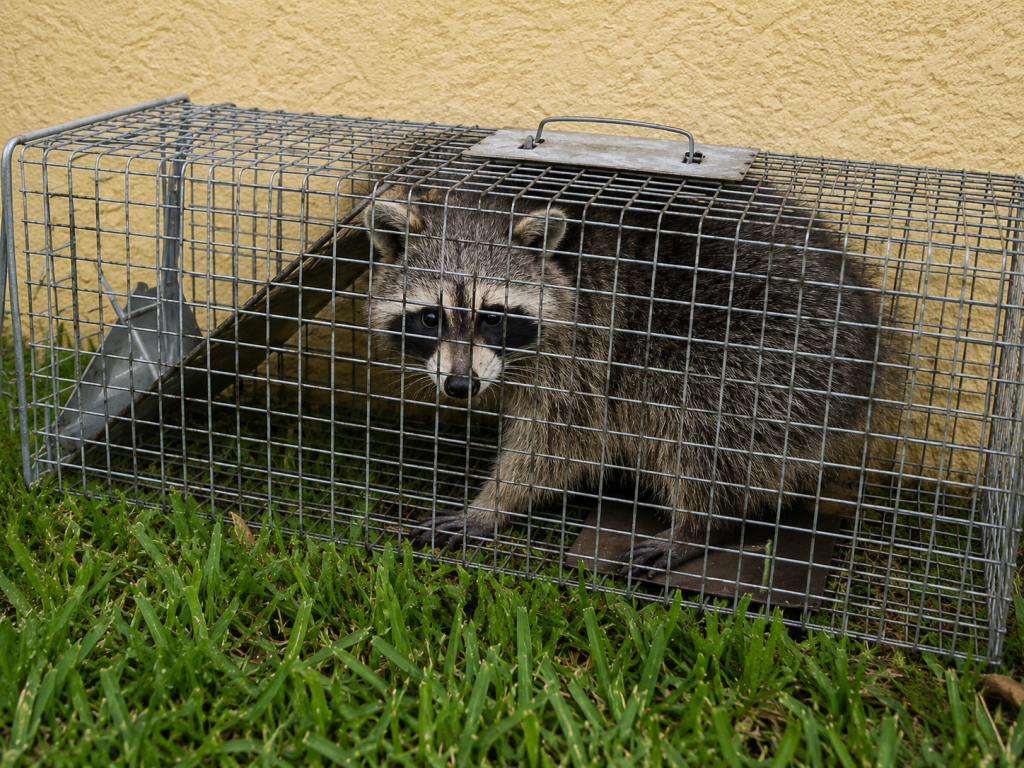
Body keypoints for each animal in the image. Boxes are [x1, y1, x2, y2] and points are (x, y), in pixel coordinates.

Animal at [362, 185, 888, 577]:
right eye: (431, 317)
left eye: (492, 316)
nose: (460, 387)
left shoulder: (585, 349)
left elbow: (559, 443)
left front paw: (493, 504)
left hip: (767, 362)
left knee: (701, 430)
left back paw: (700, 526)